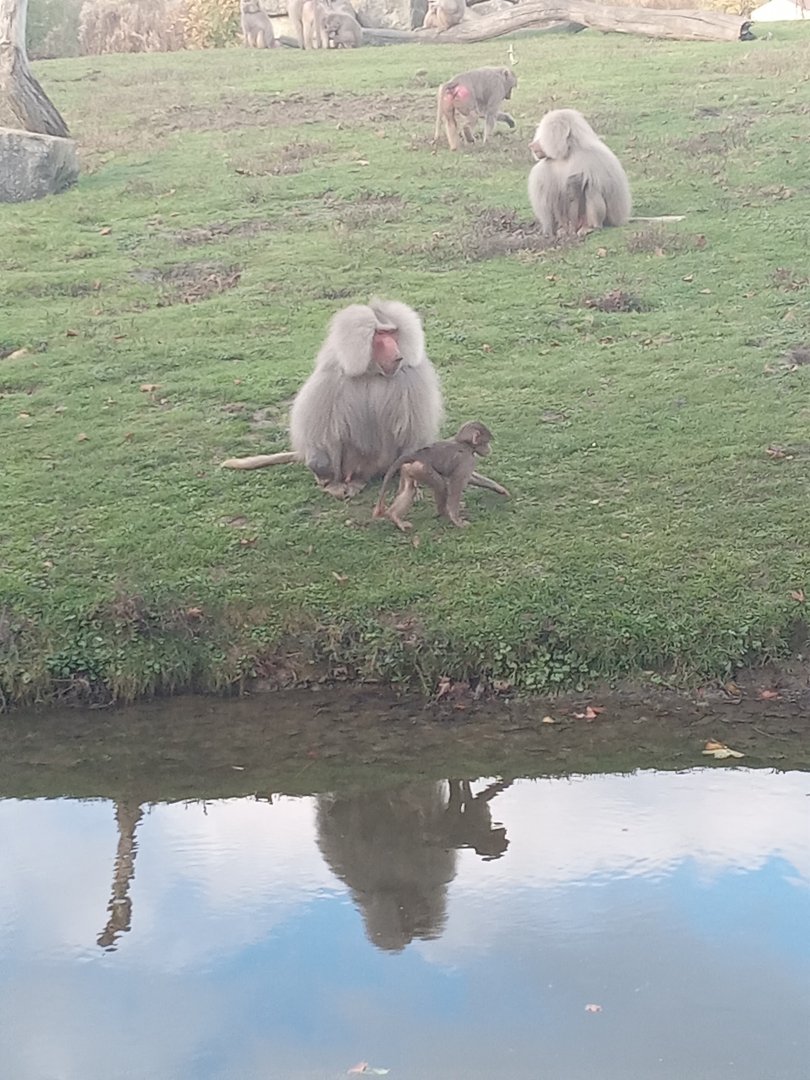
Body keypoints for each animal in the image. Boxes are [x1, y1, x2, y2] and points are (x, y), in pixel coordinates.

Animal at [373, 421, 509, 531]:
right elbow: (456, 484)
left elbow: (469, 478)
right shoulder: (468, 460)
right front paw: (456, 520)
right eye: (486, 442)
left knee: (410, 488)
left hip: (410, 468)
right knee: (440, 484)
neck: (465, 444)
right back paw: (443, 512)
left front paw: (498, 488)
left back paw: (394, 516)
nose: (489, 448)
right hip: (423, 469)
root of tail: (417, 455)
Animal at [527, 108, 631, 237]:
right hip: (569, 221)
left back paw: (590, 227)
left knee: (591, 187)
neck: (567, 154)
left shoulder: (595, 156)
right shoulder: (544, 167)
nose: (531, 145)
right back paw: (563, 230)